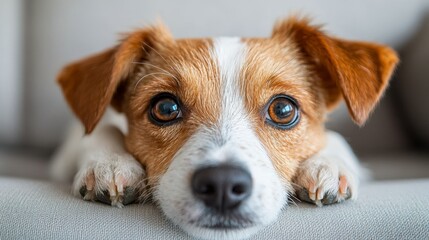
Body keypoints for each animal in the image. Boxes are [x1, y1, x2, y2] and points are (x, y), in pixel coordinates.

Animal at [51, 16, 398, 238]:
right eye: (165, 108)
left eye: (283, 109)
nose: (222, 184)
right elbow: (100, 130)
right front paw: (110, 163)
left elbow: (335, 137)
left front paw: (328, 164)